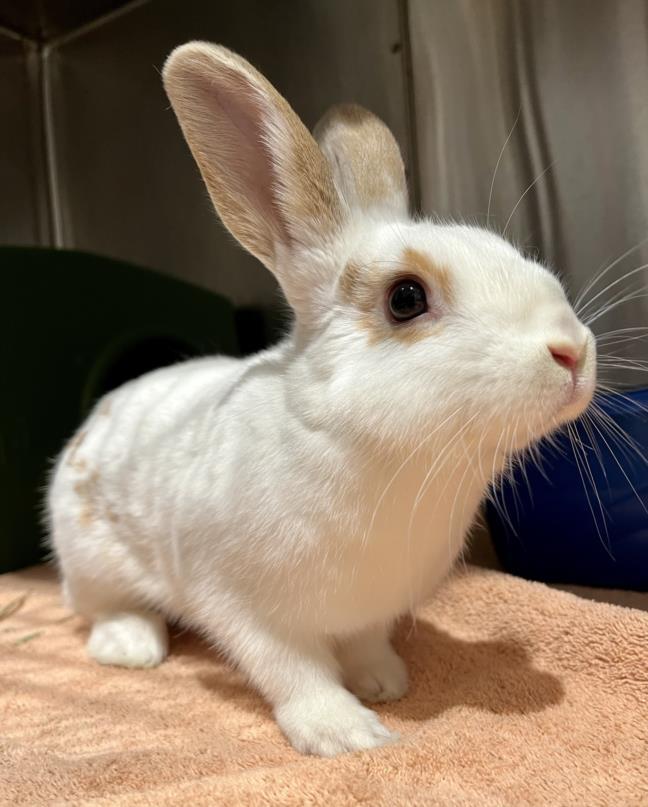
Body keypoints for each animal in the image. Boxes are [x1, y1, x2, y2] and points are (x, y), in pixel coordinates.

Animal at [47, 42, 597, 757]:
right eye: (405, 298)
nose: (573, 350)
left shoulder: (372, 609)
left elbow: (363, 645)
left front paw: (385, 684)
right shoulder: (241, 604)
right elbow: (294, 671)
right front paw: (347, 734)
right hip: (92, 562)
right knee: (104, 608)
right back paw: (132, 648)